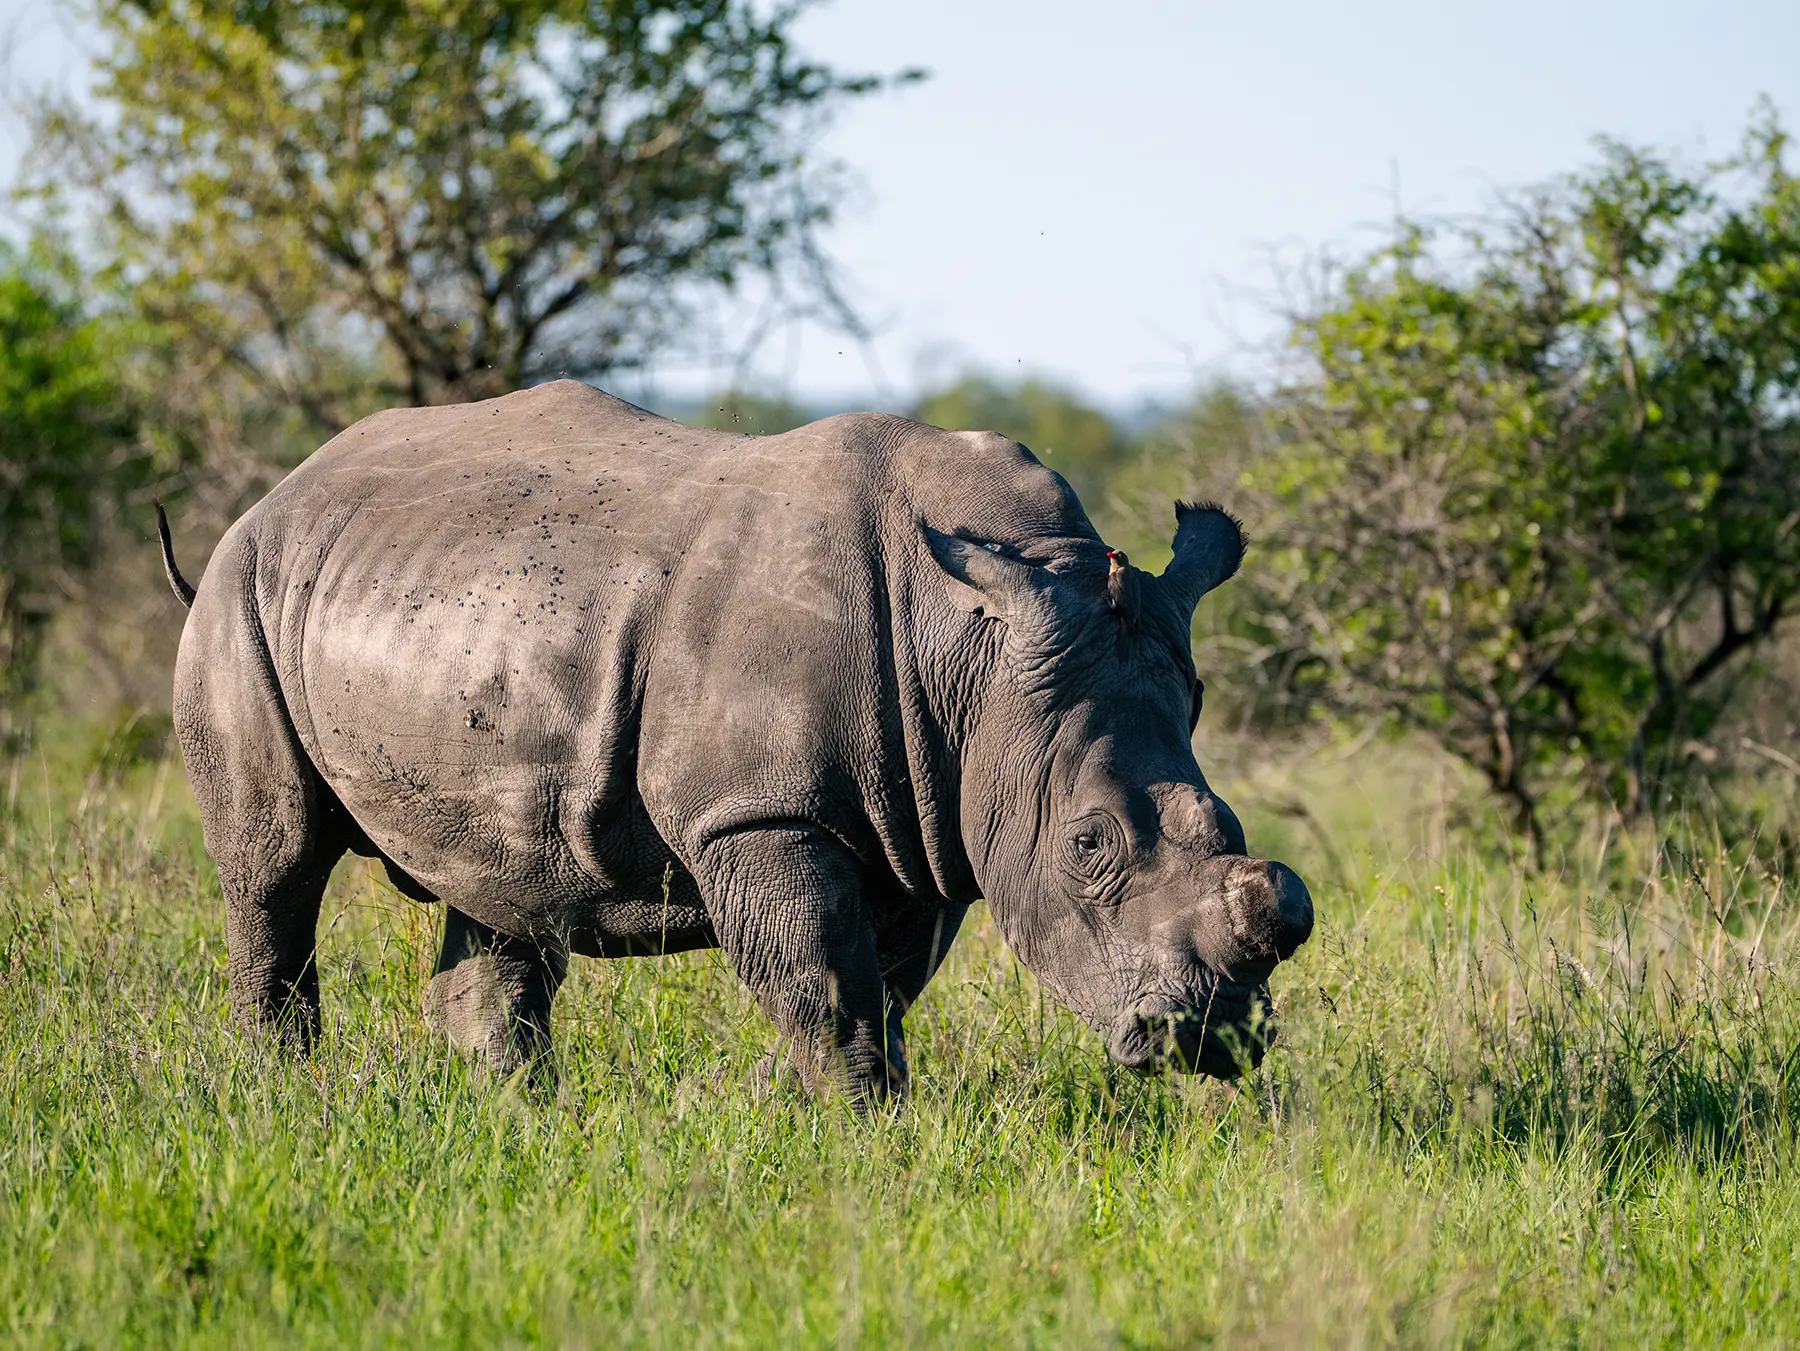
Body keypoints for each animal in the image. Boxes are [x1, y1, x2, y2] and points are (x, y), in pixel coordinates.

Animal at [158, 380, 1311, 1102]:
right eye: (1088, 846)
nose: (1214, 1039)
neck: (972, 660)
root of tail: (281, 488)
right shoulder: (760, 811)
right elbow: (824, 982)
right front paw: (855, 1131)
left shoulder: (924, 820)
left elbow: (873, 987)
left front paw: (758, 1106)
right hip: (241, 589)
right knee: (274, 864)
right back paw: (287, 1093)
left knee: (499, 885)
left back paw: (517, 1116)